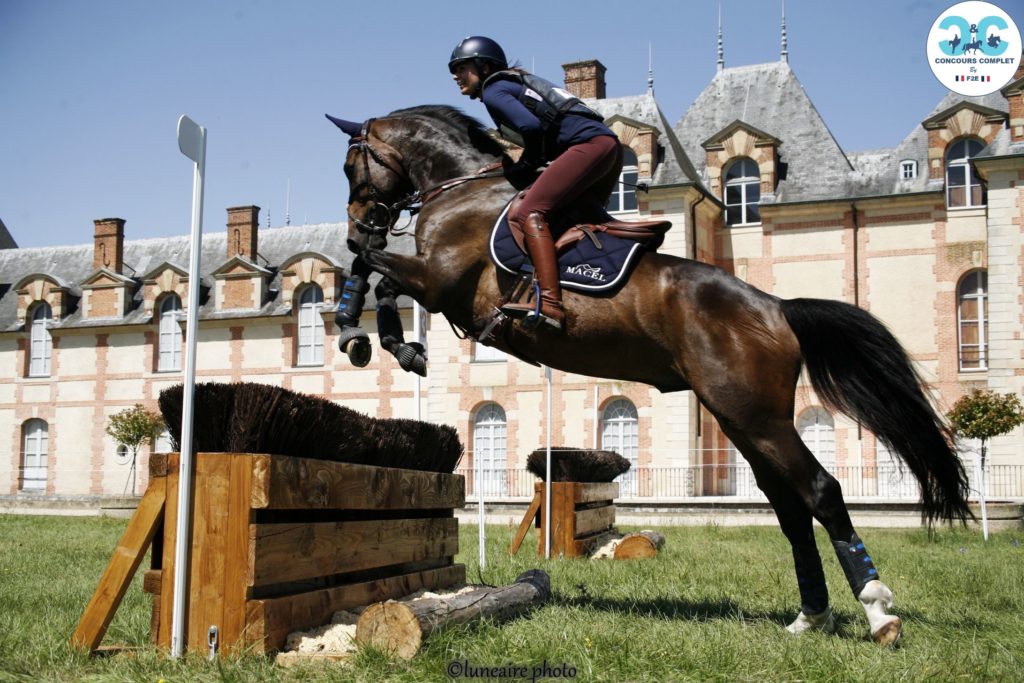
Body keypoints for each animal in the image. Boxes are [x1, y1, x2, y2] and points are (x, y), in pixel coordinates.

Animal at [327, 105, 966, 647]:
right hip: (742, 421)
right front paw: (384, 340)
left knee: (822, 492)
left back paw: (878, 612)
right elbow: (378, 275)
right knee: (790, 509)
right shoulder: (433, 286)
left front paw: (361, 330)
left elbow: (377, 271)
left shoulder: (437, 282)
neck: (463, 187)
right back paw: (810, 616)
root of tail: (778, 307)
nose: (359, 224)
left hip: (755, 416)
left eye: (352, 165)